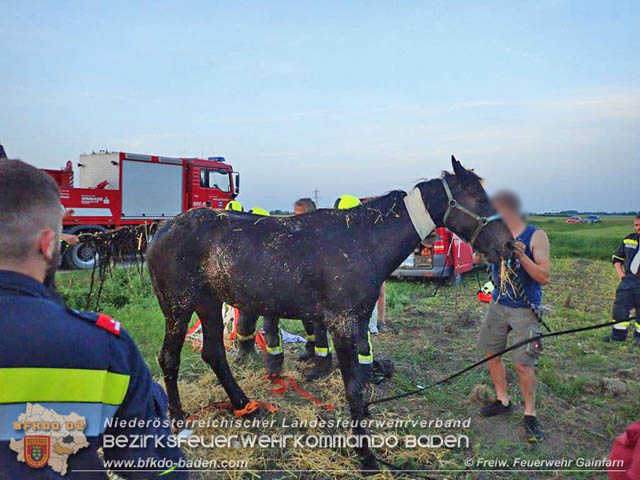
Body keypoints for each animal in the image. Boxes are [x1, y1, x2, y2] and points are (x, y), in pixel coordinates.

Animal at [148, 156, 512, 470]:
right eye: (477, 198)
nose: (509, 246)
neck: (364, 240)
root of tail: (160, 231)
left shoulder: (358, 321)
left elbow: (361, 382)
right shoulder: (342, 323)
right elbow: (353, 388)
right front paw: (365, 456)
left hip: (208, 303)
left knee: (213, 353)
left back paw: (243, 405)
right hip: (179, 306)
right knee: (169, 358)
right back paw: (178, 420)